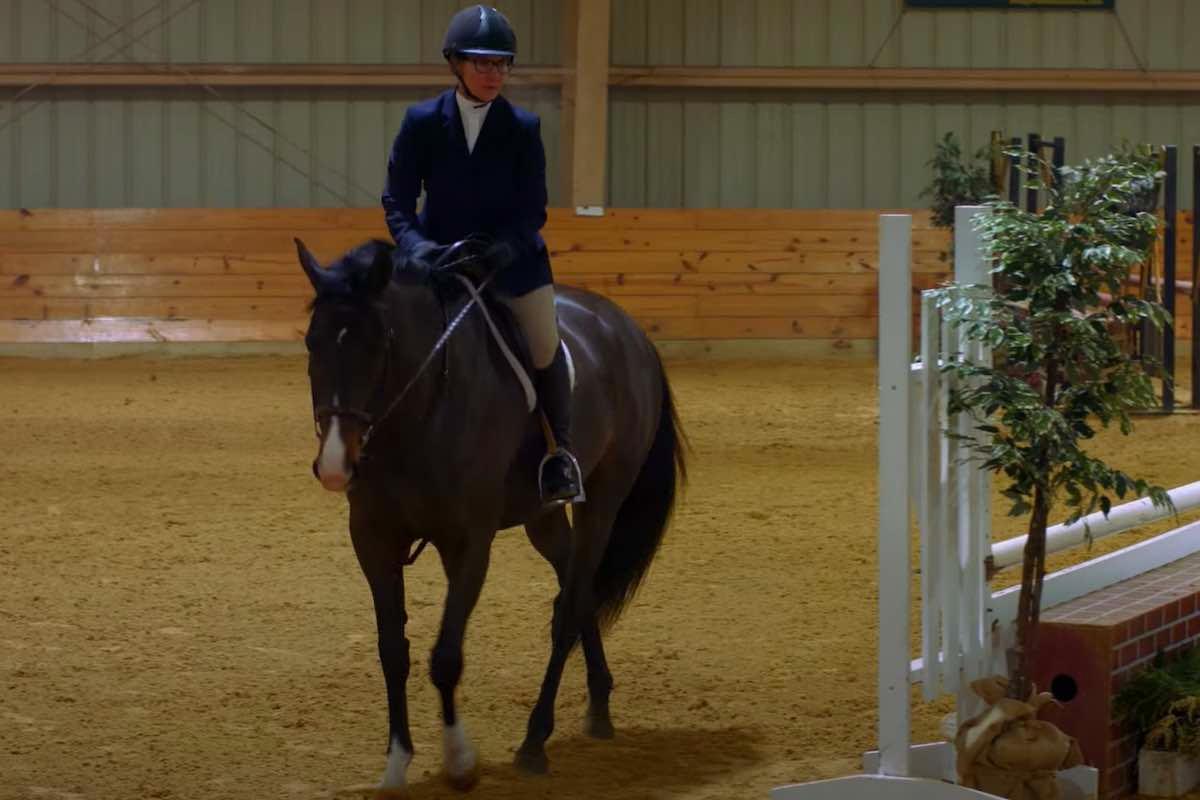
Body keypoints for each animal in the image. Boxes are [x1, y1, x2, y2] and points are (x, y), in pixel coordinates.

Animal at [294, 236, 687, 794]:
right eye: (312, 342)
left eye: (378, 345)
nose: (333, 465)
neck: (421, 414)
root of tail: (627, 329)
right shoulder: (373, 539)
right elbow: (393, 652)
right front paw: (396, 764)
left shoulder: (468, 544)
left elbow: (445, 656)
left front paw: (459, 761)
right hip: (543, 518)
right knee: (578, 587)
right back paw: (599, 706)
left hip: (604, 500)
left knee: (569, 607)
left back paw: (535, 741)